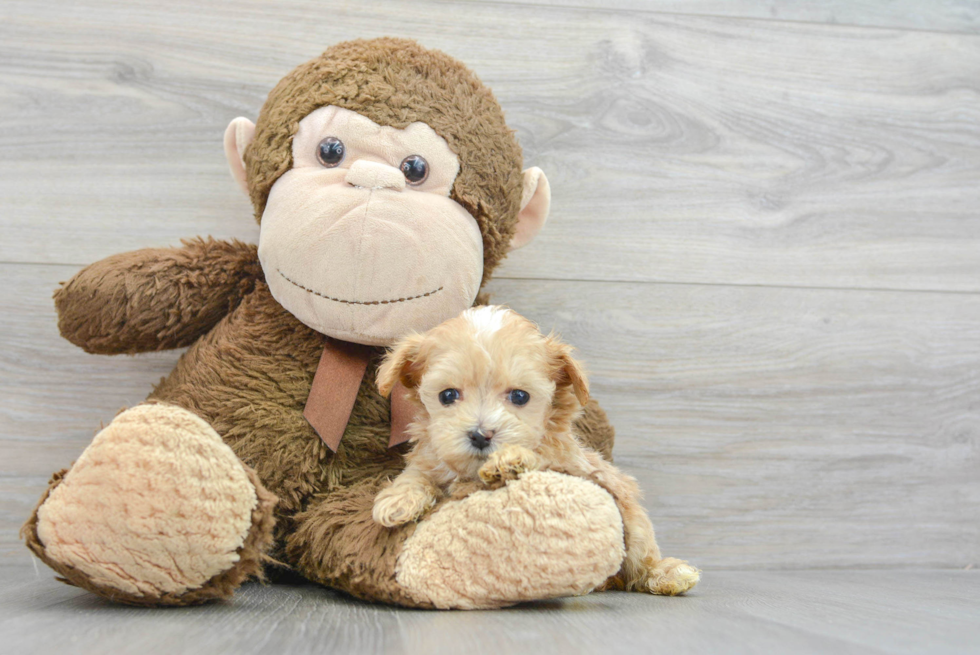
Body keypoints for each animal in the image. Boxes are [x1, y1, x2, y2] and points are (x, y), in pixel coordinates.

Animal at [372, 304, 700, 596]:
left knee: (640, 561)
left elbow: (541, 458)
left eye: (520, 396)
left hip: (634, 522)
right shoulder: (431, 458)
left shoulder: (569, 465)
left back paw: (667, 574)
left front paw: (508, 461)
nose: (480, 435)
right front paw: (398, 499)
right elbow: (417, 473)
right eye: (448, 395)